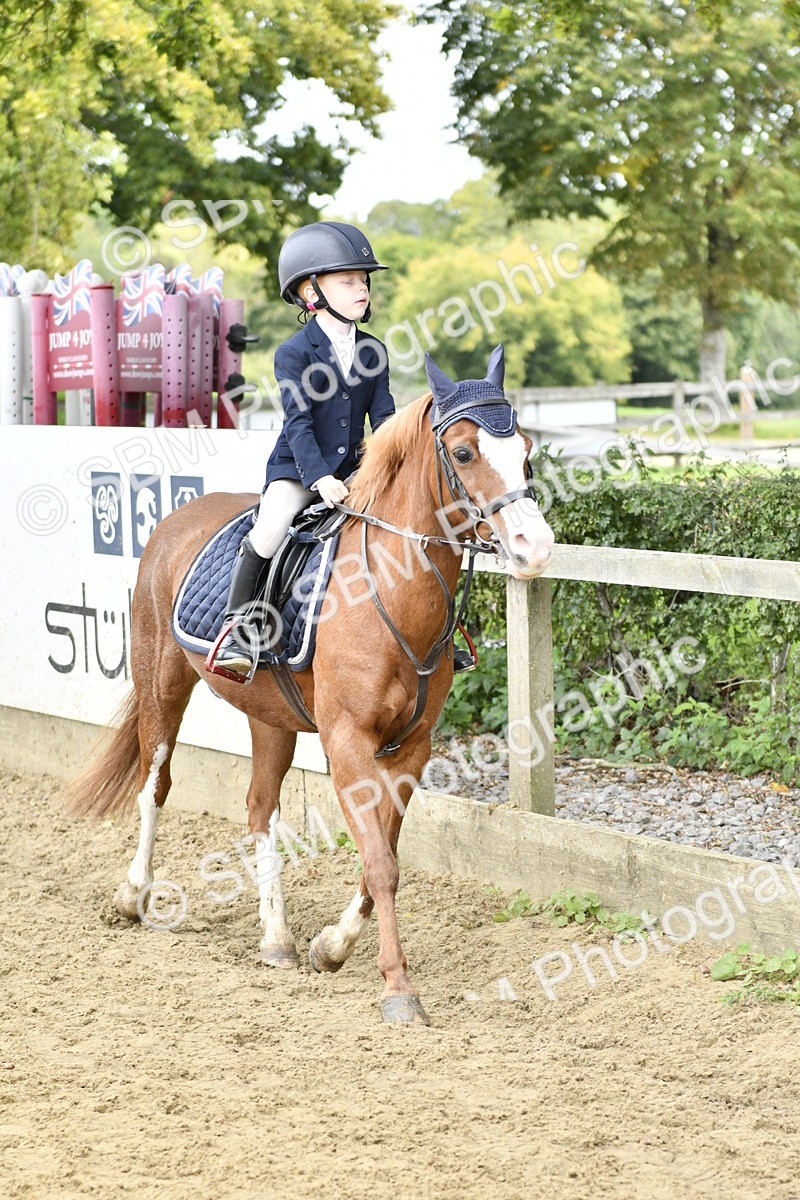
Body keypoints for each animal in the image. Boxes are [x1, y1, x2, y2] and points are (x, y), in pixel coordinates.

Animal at [67, 347, 555, 1025]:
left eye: (526, 449)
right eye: (462, 453)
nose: (536, 547)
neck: (390, 591)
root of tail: (178, 519)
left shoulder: (412, 748)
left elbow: (384, 855)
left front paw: (331, 946)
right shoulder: (346, 741)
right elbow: (381, 862)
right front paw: (398, 989)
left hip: (267, 715)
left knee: (259, 808)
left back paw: (276, 939)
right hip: (161, 682)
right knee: (154, 784)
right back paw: (134, 893)